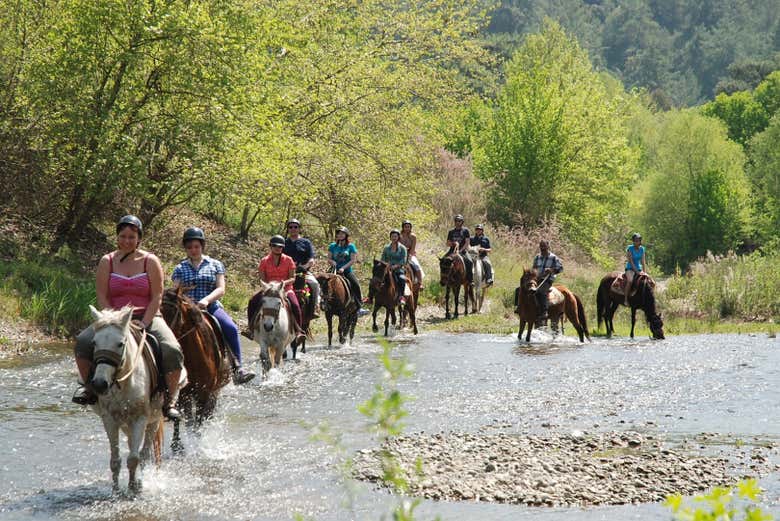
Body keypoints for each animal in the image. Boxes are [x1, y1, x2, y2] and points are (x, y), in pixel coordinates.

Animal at [88, 304, 166, 492]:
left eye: (120, 344)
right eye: (94, 343)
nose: (100, 384)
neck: (124, 383)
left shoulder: (140, 418)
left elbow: (134, 459)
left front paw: (132, 487)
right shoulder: (109, 419)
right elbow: (115, 460)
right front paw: (115, 490)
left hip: (153, 419)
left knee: (144, 454)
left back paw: (141, 481)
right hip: (126, 424)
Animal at [160, 286, 230, 452]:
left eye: (174, 311)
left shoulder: (204, 392)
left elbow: (198, 421)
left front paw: (198, 445)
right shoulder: (182, 393)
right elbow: (185, 420)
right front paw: (177, 446)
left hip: (214, 391)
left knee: (207, 415)